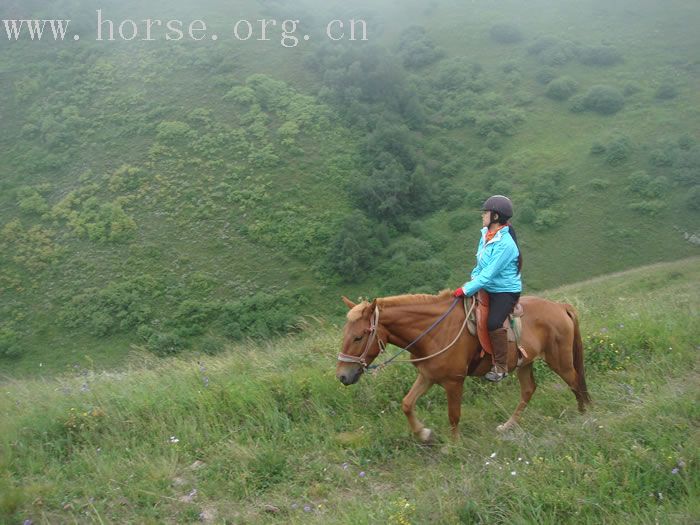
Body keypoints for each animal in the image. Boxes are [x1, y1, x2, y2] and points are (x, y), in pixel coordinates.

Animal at [336, 288, 588, 440]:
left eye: (358, 337)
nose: (342, 376)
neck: (435, 331)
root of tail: (560, 306)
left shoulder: (453, 382)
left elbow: (453, 415)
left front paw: (453, 446)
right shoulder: (427, 376)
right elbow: (407, 404)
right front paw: (424, 434)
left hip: (559, 360)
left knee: (575, 381)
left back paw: (583, 415)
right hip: (524, 363)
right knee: (528, 390)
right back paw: (508, 426)